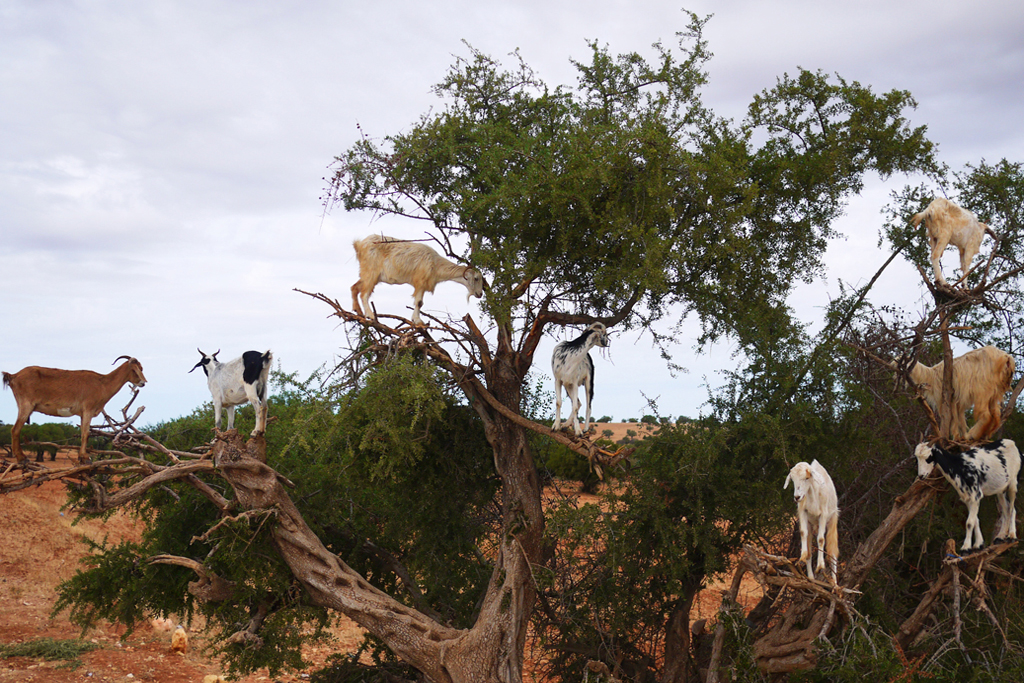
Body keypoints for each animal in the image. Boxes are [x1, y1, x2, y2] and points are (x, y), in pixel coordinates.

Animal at [2, 358, 147, 464]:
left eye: (141, 368)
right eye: (134, 370)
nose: (143, 383)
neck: (102, 384)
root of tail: (13, 376)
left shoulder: (82, 414)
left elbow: (83, 433)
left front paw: (81, 457)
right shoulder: (88, 410)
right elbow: (86, 434)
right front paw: (86, 458)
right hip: (26, 405)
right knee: (15, 430)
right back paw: (22, 458)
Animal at [352, 235, 483, 325]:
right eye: (476, 278)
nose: (480, 294)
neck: (435, 263)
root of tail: (359, 245)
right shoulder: (420, 282)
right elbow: (419, 302)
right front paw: (418, 321)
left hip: (368, 275)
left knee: (354, 287)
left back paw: (358, 311)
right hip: (371, 273)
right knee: (364, 294)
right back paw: (370, 315)